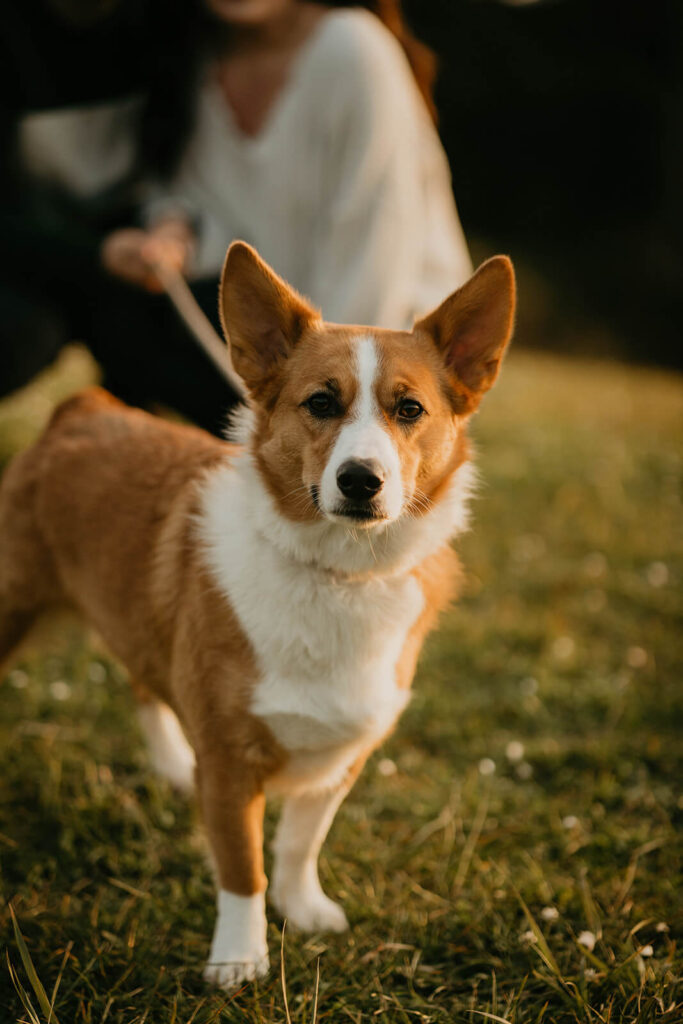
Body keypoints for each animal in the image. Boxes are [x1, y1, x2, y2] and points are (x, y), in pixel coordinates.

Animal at [0, 239, 511, 983]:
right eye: (320, 403)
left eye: (409, 409)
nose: (360, 481)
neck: (337, 574)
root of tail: (81, 408)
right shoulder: (229, 762)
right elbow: (242, 869)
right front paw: (240, 960)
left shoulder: (340, 756)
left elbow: (298, 847)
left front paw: (303, 911)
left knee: (142, 678)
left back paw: (171, 766)